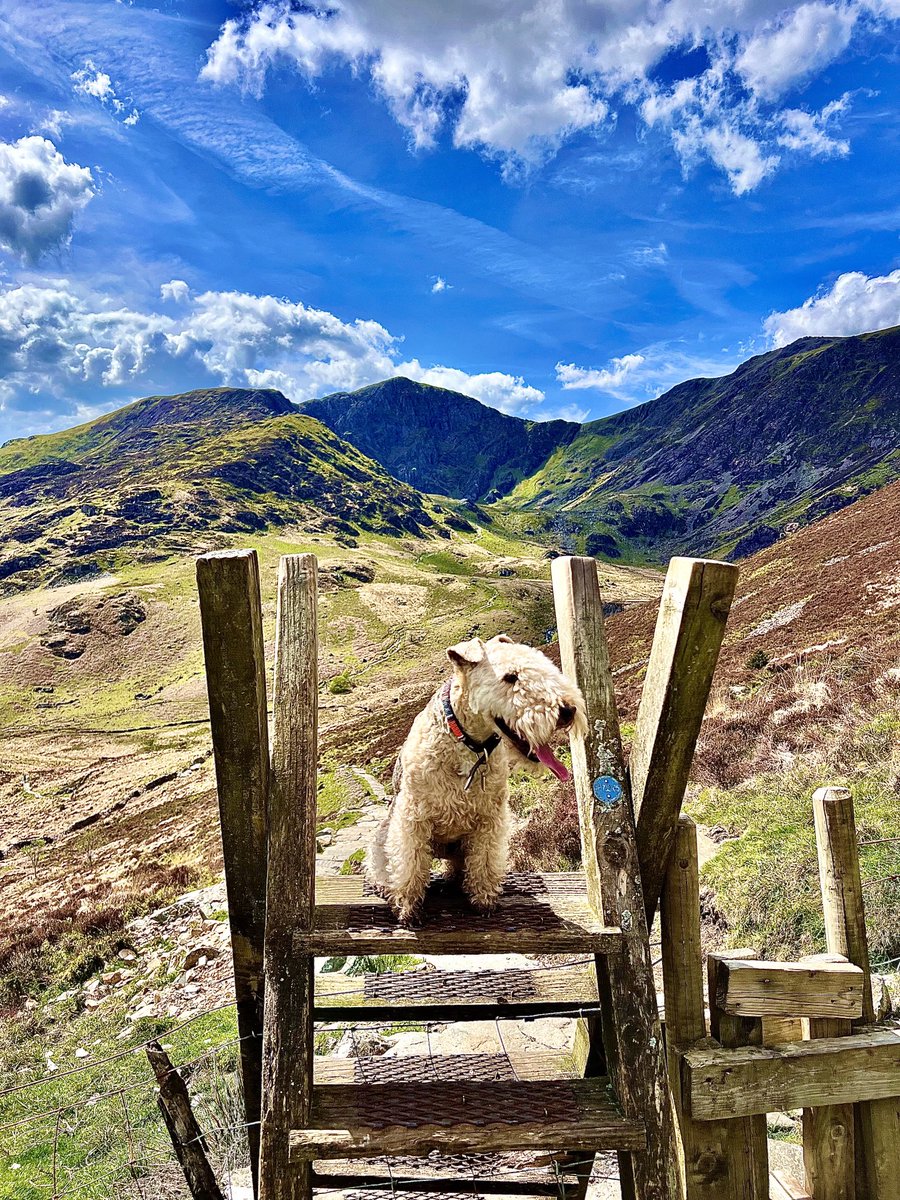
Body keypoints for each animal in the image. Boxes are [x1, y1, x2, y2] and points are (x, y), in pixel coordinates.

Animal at [367, 633, 592, 921]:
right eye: (510, 677)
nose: (567, 710)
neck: (470, 745)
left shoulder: (490, 819)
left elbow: (484, 861)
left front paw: (484, 900)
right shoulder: (413, 817)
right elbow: (411, 862)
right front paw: (408, 907)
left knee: (459, 864)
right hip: (385, 834)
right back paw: (386, 886)